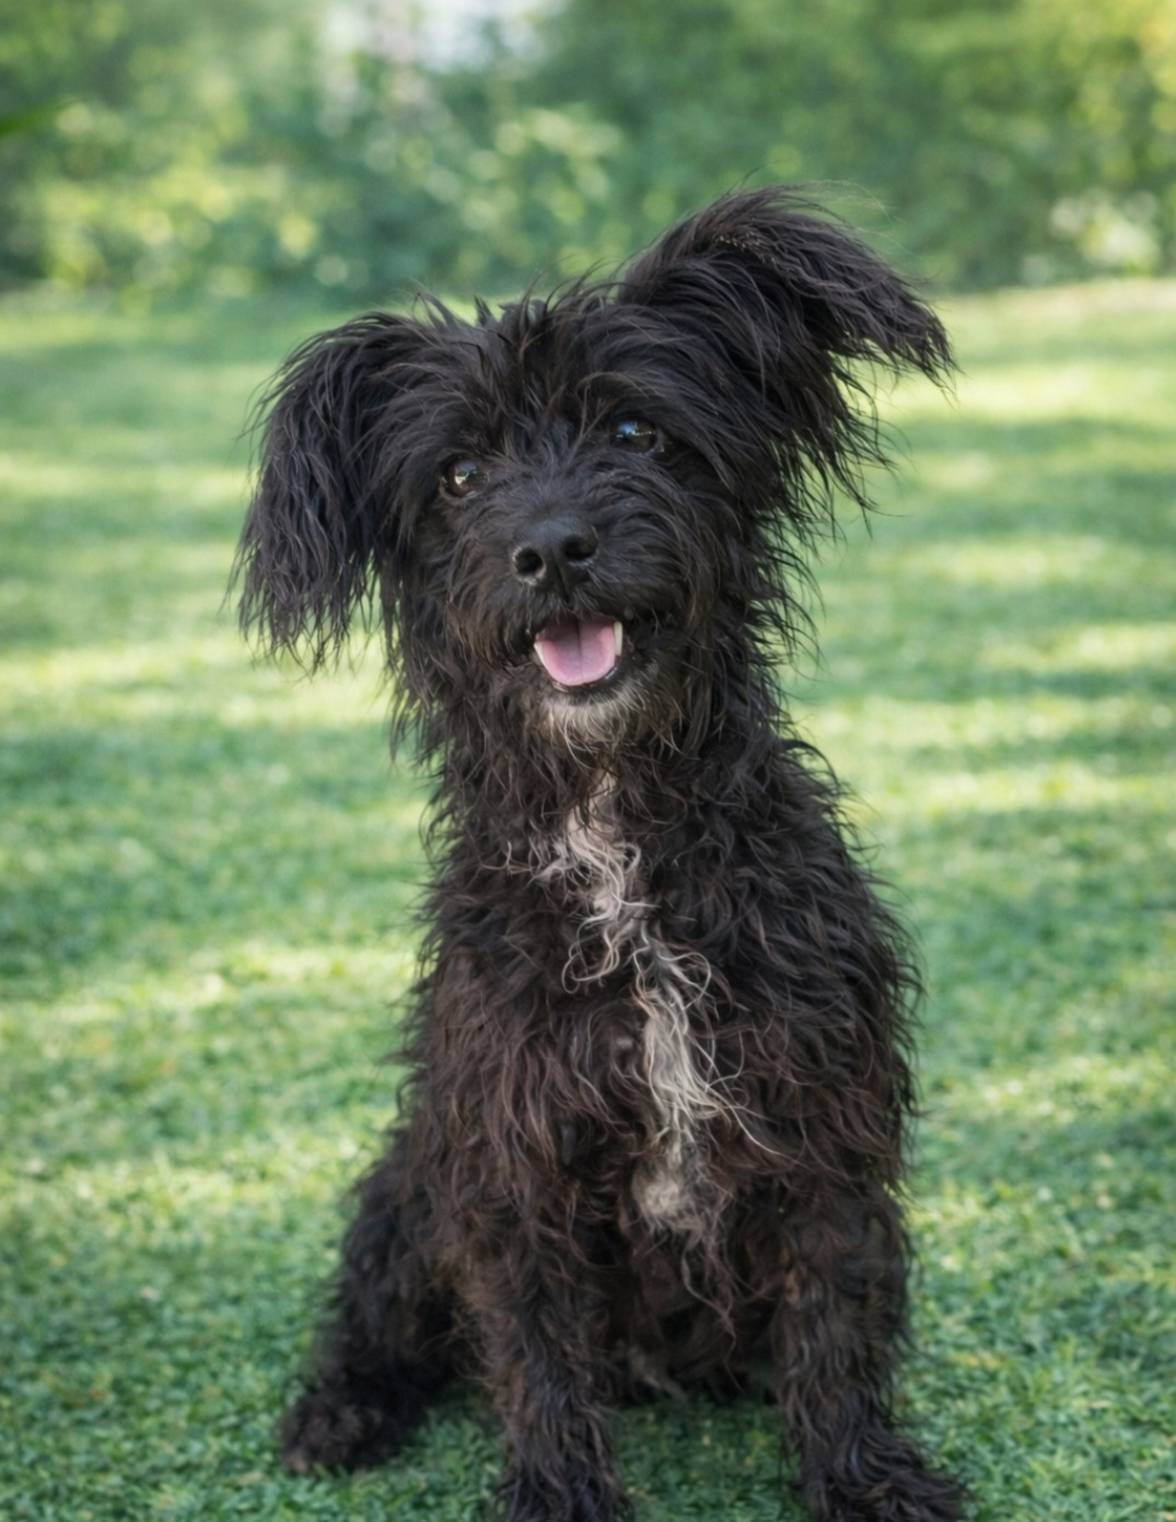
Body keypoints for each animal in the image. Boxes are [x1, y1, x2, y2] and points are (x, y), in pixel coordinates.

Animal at [235, 187, 963, 1522]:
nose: (554, 547)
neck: (615, 833)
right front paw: (560, 1493)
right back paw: (341, 1408)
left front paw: (860, 1477)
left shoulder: (823, 1120)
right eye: (460, 475)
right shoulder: (509, 1153)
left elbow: (835, 1321)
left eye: (634, 427)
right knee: (374, 1313)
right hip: (406, 1179)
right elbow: (535, 1354)